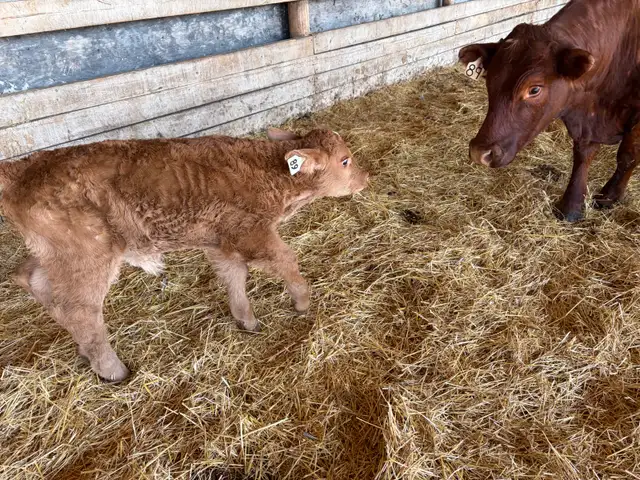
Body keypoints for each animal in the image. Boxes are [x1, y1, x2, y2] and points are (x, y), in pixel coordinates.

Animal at [0, 128, 369, 381]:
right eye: (345, 160)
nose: (366, 178)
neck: (270, 174)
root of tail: (25, 168)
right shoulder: (252, 233)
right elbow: (286, 260)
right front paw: (302, 302)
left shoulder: (221, 242)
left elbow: (234, 277)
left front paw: (245, 320)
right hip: (88, 255)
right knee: (81, 311)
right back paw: (112, 369)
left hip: (56, 253)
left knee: (32, 280)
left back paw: (83, 351)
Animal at [458, 0, 640, 222]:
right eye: (489, 79)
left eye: (534, 89)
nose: (479, 152)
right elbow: (583, 155)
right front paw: (571, 206)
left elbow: (628, 156)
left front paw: (609, 196)